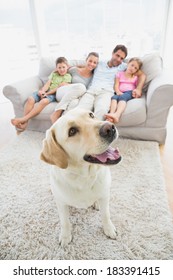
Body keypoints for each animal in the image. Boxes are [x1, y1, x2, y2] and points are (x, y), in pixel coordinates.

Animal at [40, 108, 121, 246]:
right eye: (72, 131)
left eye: (91, 115)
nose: (110, 127)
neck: (84, 177)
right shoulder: (61, 204)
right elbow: (64, 221)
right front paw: (65, 236)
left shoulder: (105, 196)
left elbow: (106, 214)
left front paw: (109, 229)